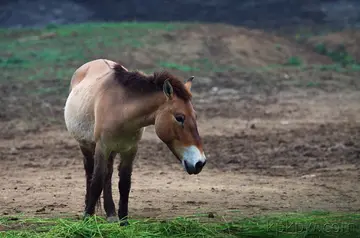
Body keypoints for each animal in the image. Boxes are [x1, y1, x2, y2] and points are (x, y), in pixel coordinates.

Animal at [63, 58, 207, 226]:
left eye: (195, 116)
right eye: (179, 117)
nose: (200, 162)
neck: (121, 109)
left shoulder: (130, 150)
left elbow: (124, 183)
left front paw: (123, 220)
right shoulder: (102, 147)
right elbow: (96, 180)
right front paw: (87, 217)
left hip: (112, 151)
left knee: (108, 174)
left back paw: (110, 213)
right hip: (86, 146)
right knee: (90, 173)